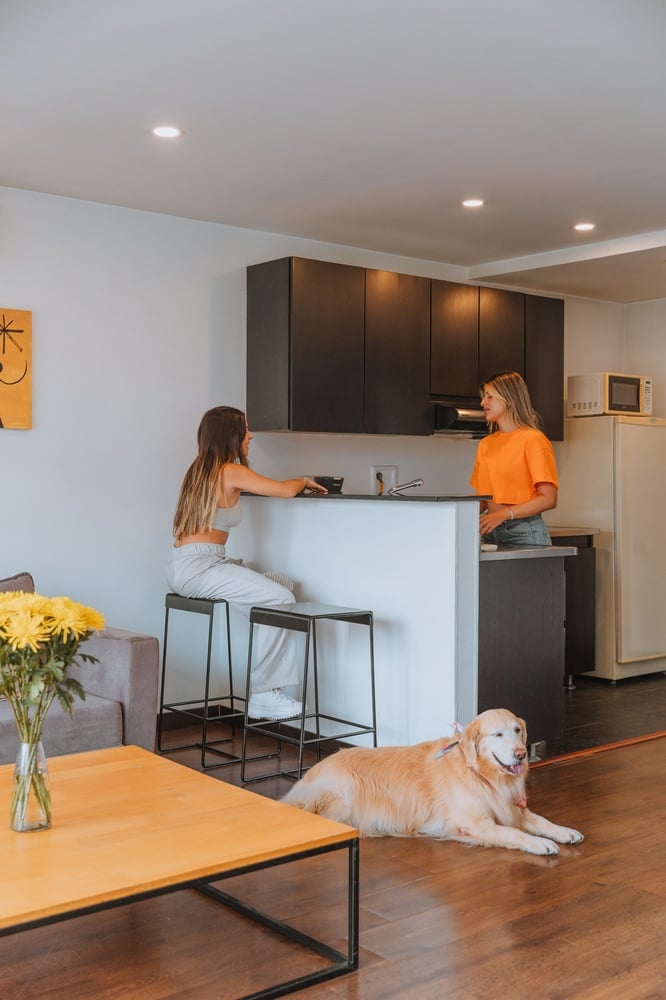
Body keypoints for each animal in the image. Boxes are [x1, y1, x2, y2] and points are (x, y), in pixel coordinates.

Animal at [282, 708, 584, 856]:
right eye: (497, 734)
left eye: (517, 730)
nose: (521, 753)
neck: (483, 776)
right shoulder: (474, 823)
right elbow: (513, 833)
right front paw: (540, 844)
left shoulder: (513, 808)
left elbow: (541, 820)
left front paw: (565, 831)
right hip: (345, 789)